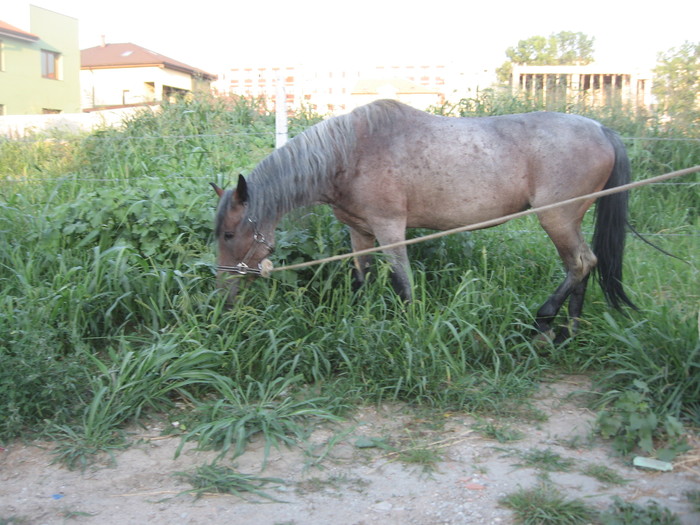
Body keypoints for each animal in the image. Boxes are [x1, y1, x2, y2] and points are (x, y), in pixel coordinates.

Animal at [211, 100, 636, 342]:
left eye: (230, 233)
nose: (222, 298)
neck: (349, 153)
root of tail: (602, 130)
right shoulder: (359, 231)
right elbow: (360, 279)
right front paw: (359, 319)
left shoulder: (390, 229)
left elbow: (403, 284)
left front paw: (410, 327)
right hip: (569, 220)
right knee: (583, 265)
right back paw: (570, 330)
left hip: (555, 219)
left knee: (580, 263)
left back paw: (545, 321)